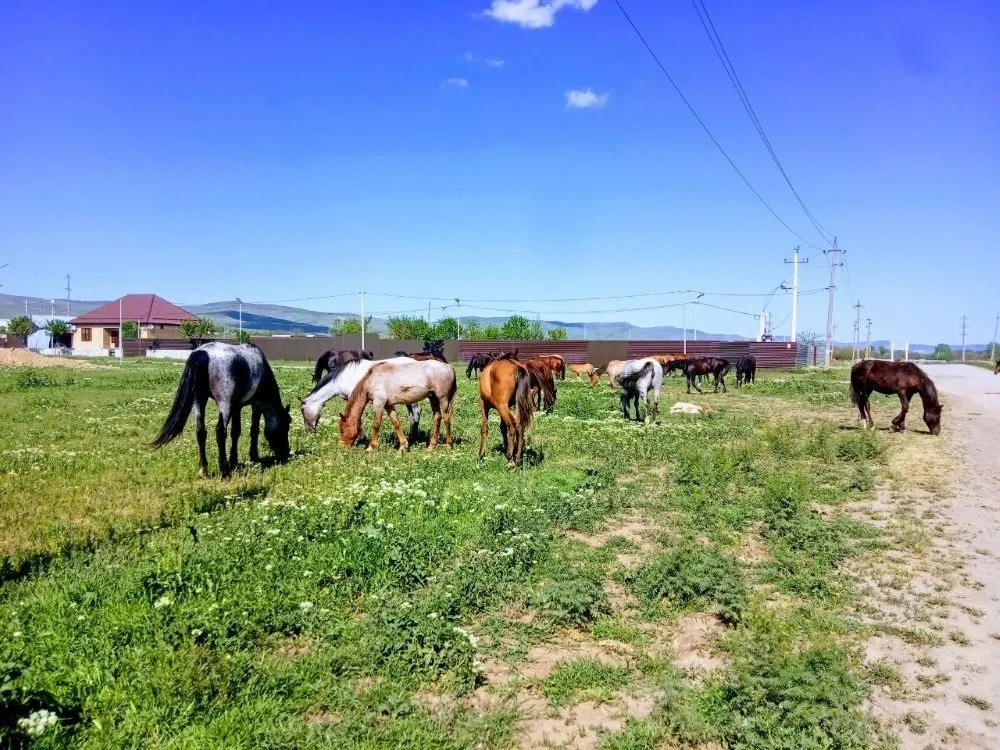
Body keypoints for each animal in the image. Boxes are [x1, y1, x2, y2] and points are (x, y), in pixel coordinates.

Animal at [152, 344, 292, 478]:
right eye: (286, 426)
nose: (285, 453)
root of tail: (202, 353)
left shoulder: (236, 407)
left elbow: (235, 432)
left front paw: (234, 461)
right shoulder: (255, 405)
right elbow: (254, 430)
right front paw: (252, 457)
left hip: (199, 400)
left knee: (200, 432)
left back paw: (203, 470)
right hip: (224, 404)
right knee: (220, 431)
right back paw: (224, 471)